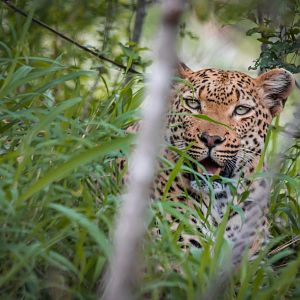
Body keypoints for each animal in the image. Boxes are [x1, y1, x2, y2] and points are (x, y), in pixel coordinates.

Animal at [120, 62, 294, 264]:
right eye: (193, 103)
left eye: (241, 110)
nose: (211, 139)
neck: (220, 202)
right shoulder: (180, 245)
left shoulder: (255, 258)